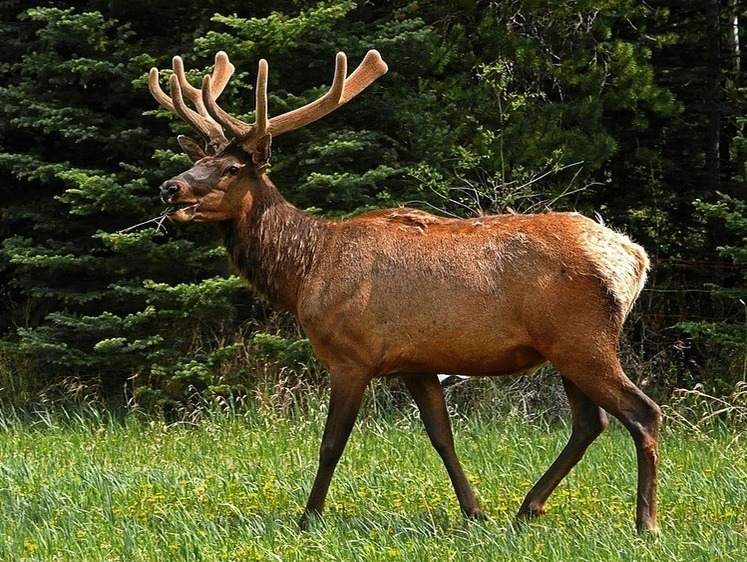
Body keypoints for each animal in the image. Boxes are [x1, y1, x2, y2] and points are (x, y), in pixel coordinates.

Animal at [149, 49, 664, 532]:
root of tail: (635, 259)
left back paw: (646, 523)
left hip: (582, 338)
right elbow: (441, 436)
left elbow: (331, 442)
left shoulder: (352, 356)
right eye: (197, 160)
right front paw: (474, 511)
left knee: (642, 412)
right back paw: (528, 507)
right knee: (590, 421)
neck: (304, 272)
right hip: (563, 346)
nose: (169, 187)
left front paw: (308, 518)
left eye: (232, 168)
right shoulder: (416, 362)